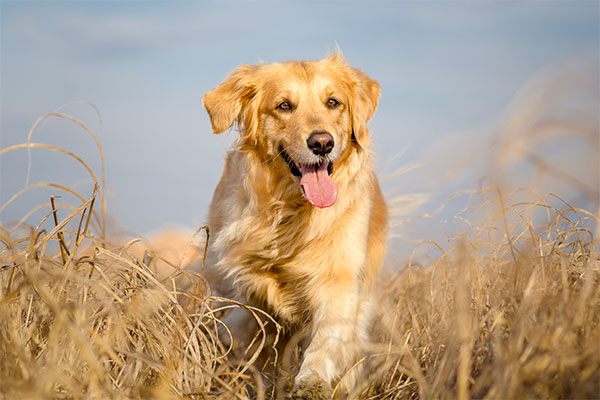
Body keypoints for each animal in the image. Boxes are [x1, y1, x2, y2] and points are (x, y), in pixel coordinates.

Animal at [203, 54, 390, 396]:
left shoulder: (339, 278)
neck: (292, 210)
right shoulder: (241, 283)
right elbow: (245, 331)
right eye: (284, 105)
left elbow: (327, 337)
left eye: (333, 102)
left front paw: (312, 380)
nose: (322, 143)